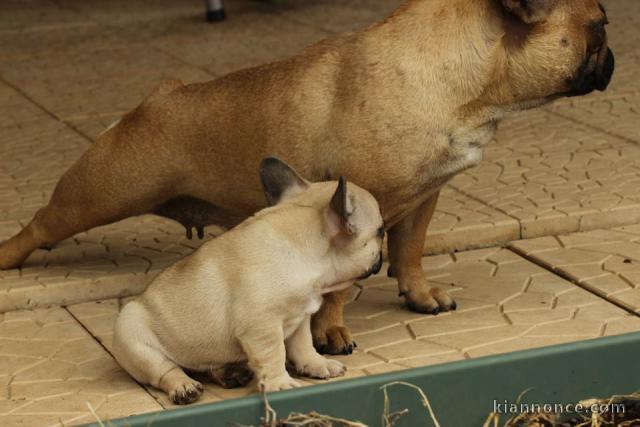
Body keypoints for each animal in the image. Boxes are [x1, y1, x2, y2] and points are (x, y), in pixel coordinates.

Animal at [111, 157, 384, 404]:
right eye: (381, 231)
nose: (384, 249)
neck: (305, 252)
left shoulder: (300, 317)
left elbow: (303, 344)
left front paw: (316, 364)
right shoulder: (261, 327)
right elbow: (274, 354)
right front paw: (280, 383)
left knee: (208, 366)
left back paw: (228, 373)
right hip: (134, 337)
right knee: (165, 370)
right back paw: (184, 386)